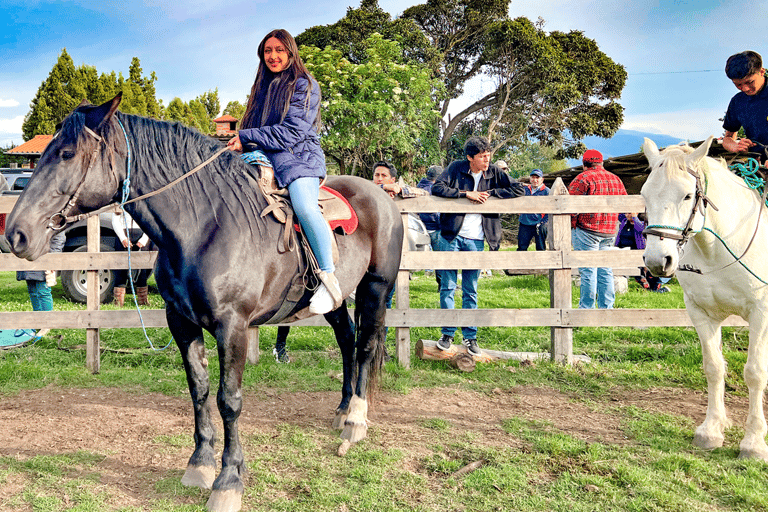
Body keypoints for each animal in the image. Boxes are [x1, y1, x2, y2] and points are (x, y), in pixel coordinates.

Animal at [6, 96, 404, 512]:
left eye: (66, 153)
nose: (16, 234)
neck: (207, 225)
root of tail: (381, 196)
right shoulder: (181, 321)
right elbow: (198, 389)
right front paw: (199, 464)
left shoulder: (234, 326)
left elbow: (229, 400)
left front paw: (228, 480)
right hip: (336, 299)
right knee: (346, 340)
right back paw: (342, 409)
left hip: (376, 288)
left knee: (366, 345)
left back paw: (355, 420)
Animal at [640, 137, 768, 460]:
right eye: (645, 194)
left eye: (688, 195)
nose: (658, 261)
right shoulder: (701, 312)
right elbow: (713, 368)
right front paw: (711, 430)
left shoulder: (761, 313)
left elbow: (755, 372)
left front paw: (754, 442)